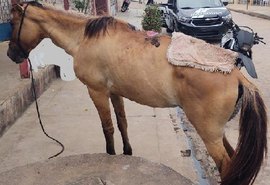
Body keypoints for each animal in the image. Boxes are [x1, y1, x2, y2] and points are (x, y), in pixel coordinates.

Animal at [7, 1, 266, 185]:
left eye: (13, 23)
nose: (11, 54)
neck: (84, 38)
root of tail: (237, 76)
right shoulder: (115, 92)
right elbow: (122, 123)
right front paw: (127, 153)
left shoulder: (97, 92)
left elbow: (108, 128)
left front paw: (111, 156)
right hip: (216, 133)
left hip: (208, 133)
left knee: (227, 166)